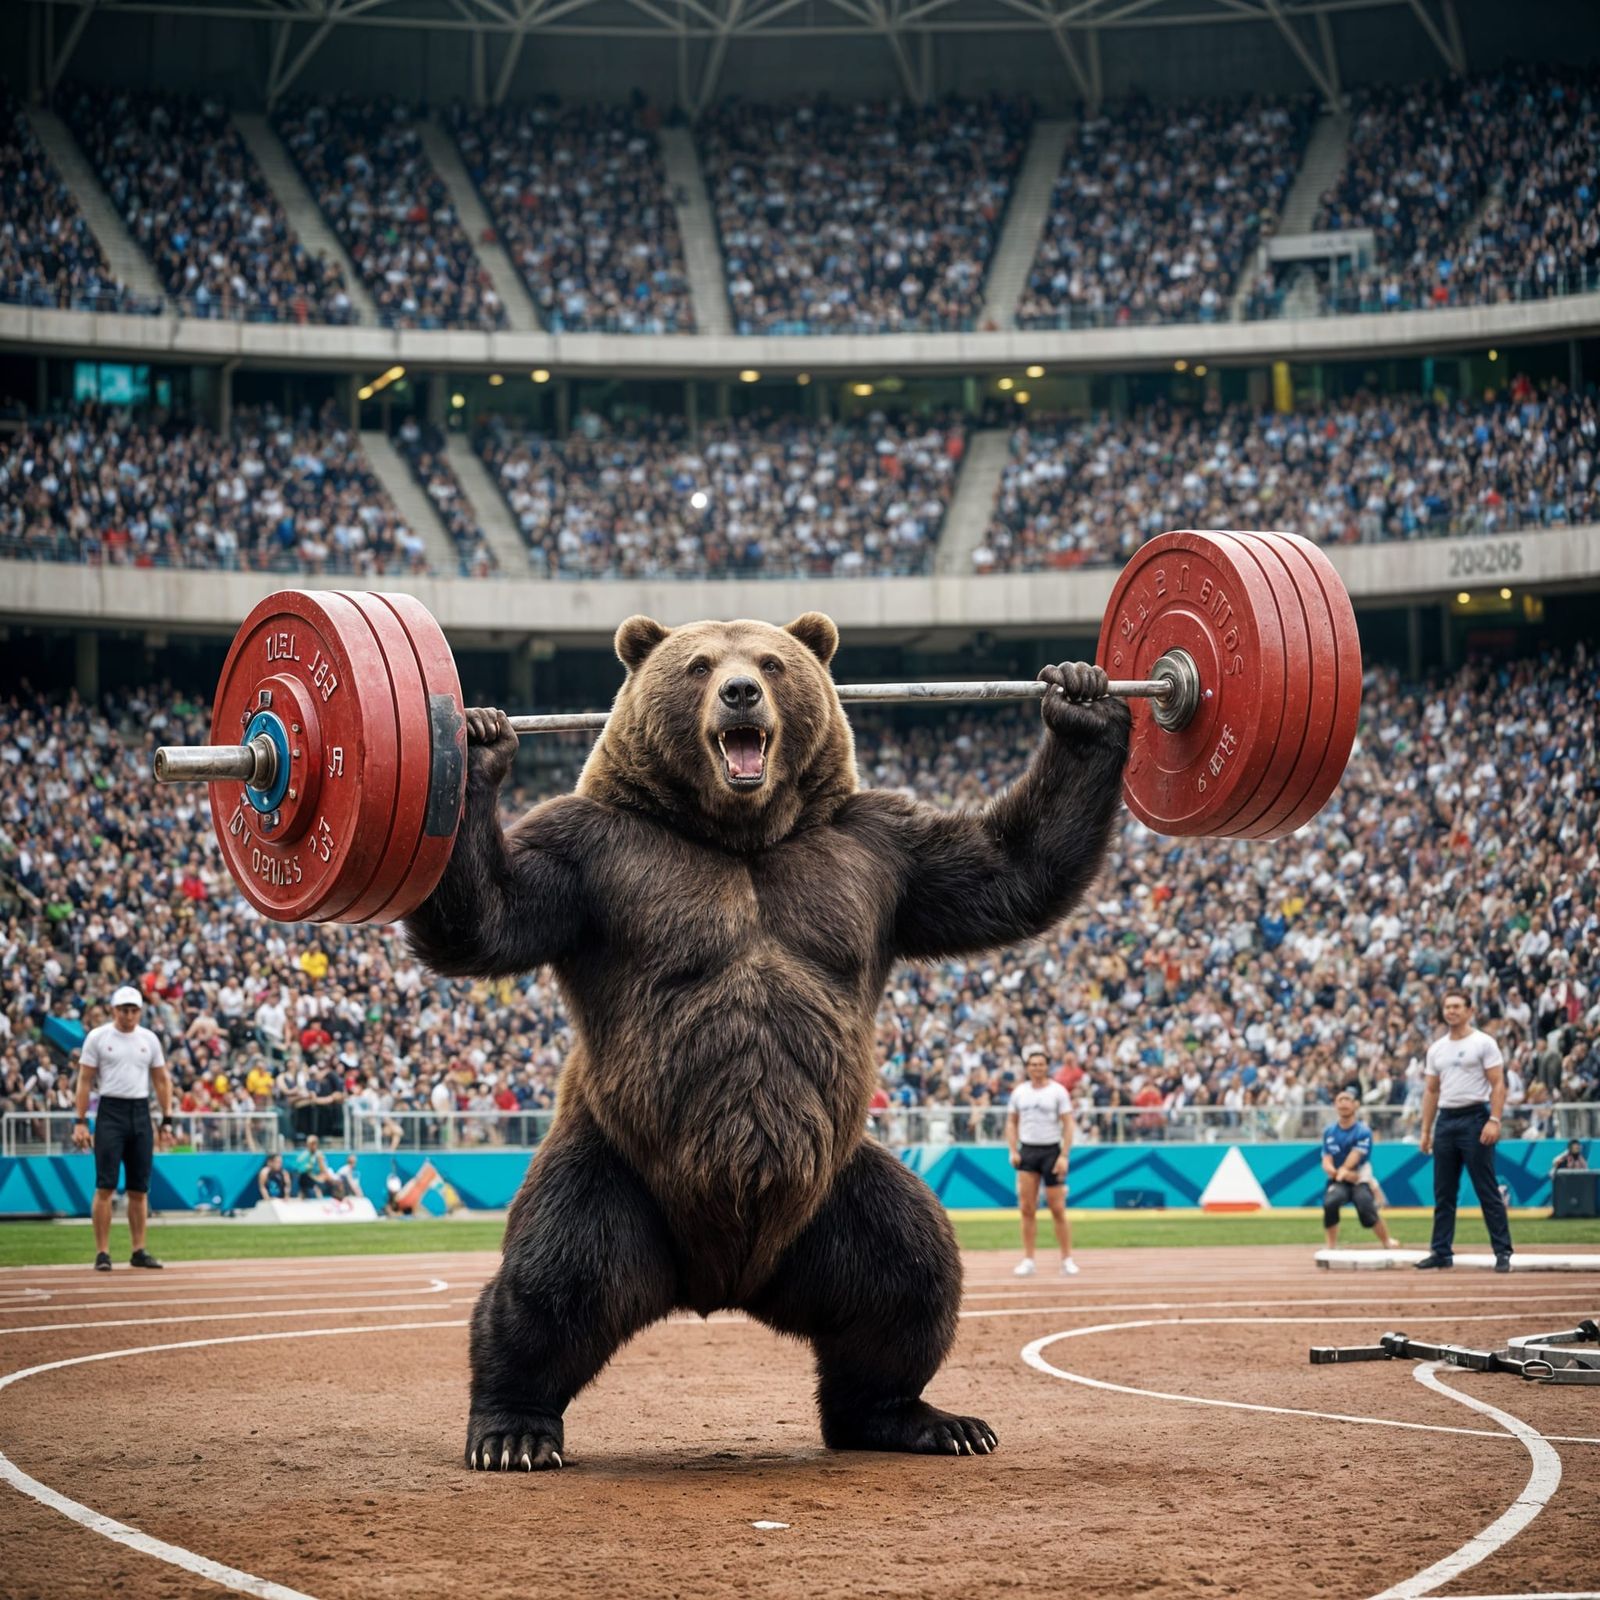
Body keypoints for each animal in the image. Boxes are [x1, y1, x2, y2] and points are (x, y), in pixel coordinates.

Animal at [404, 611, 1130, 1472]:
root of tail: (721, 1283)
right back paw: (512, 1427)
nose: (741, 691)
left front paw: (1083, 701)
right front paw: (478, 740)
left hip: (838, 1192)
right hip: (619, 1167)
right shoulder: (596, 859)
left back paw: (921, 1419)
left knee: (909, 1273)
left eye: (773, 662)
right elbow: (489, 916)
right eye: (699, 664)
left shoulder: (878, 855)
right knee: (555, 1280)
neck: (740, 835)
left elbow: (1008, 870)